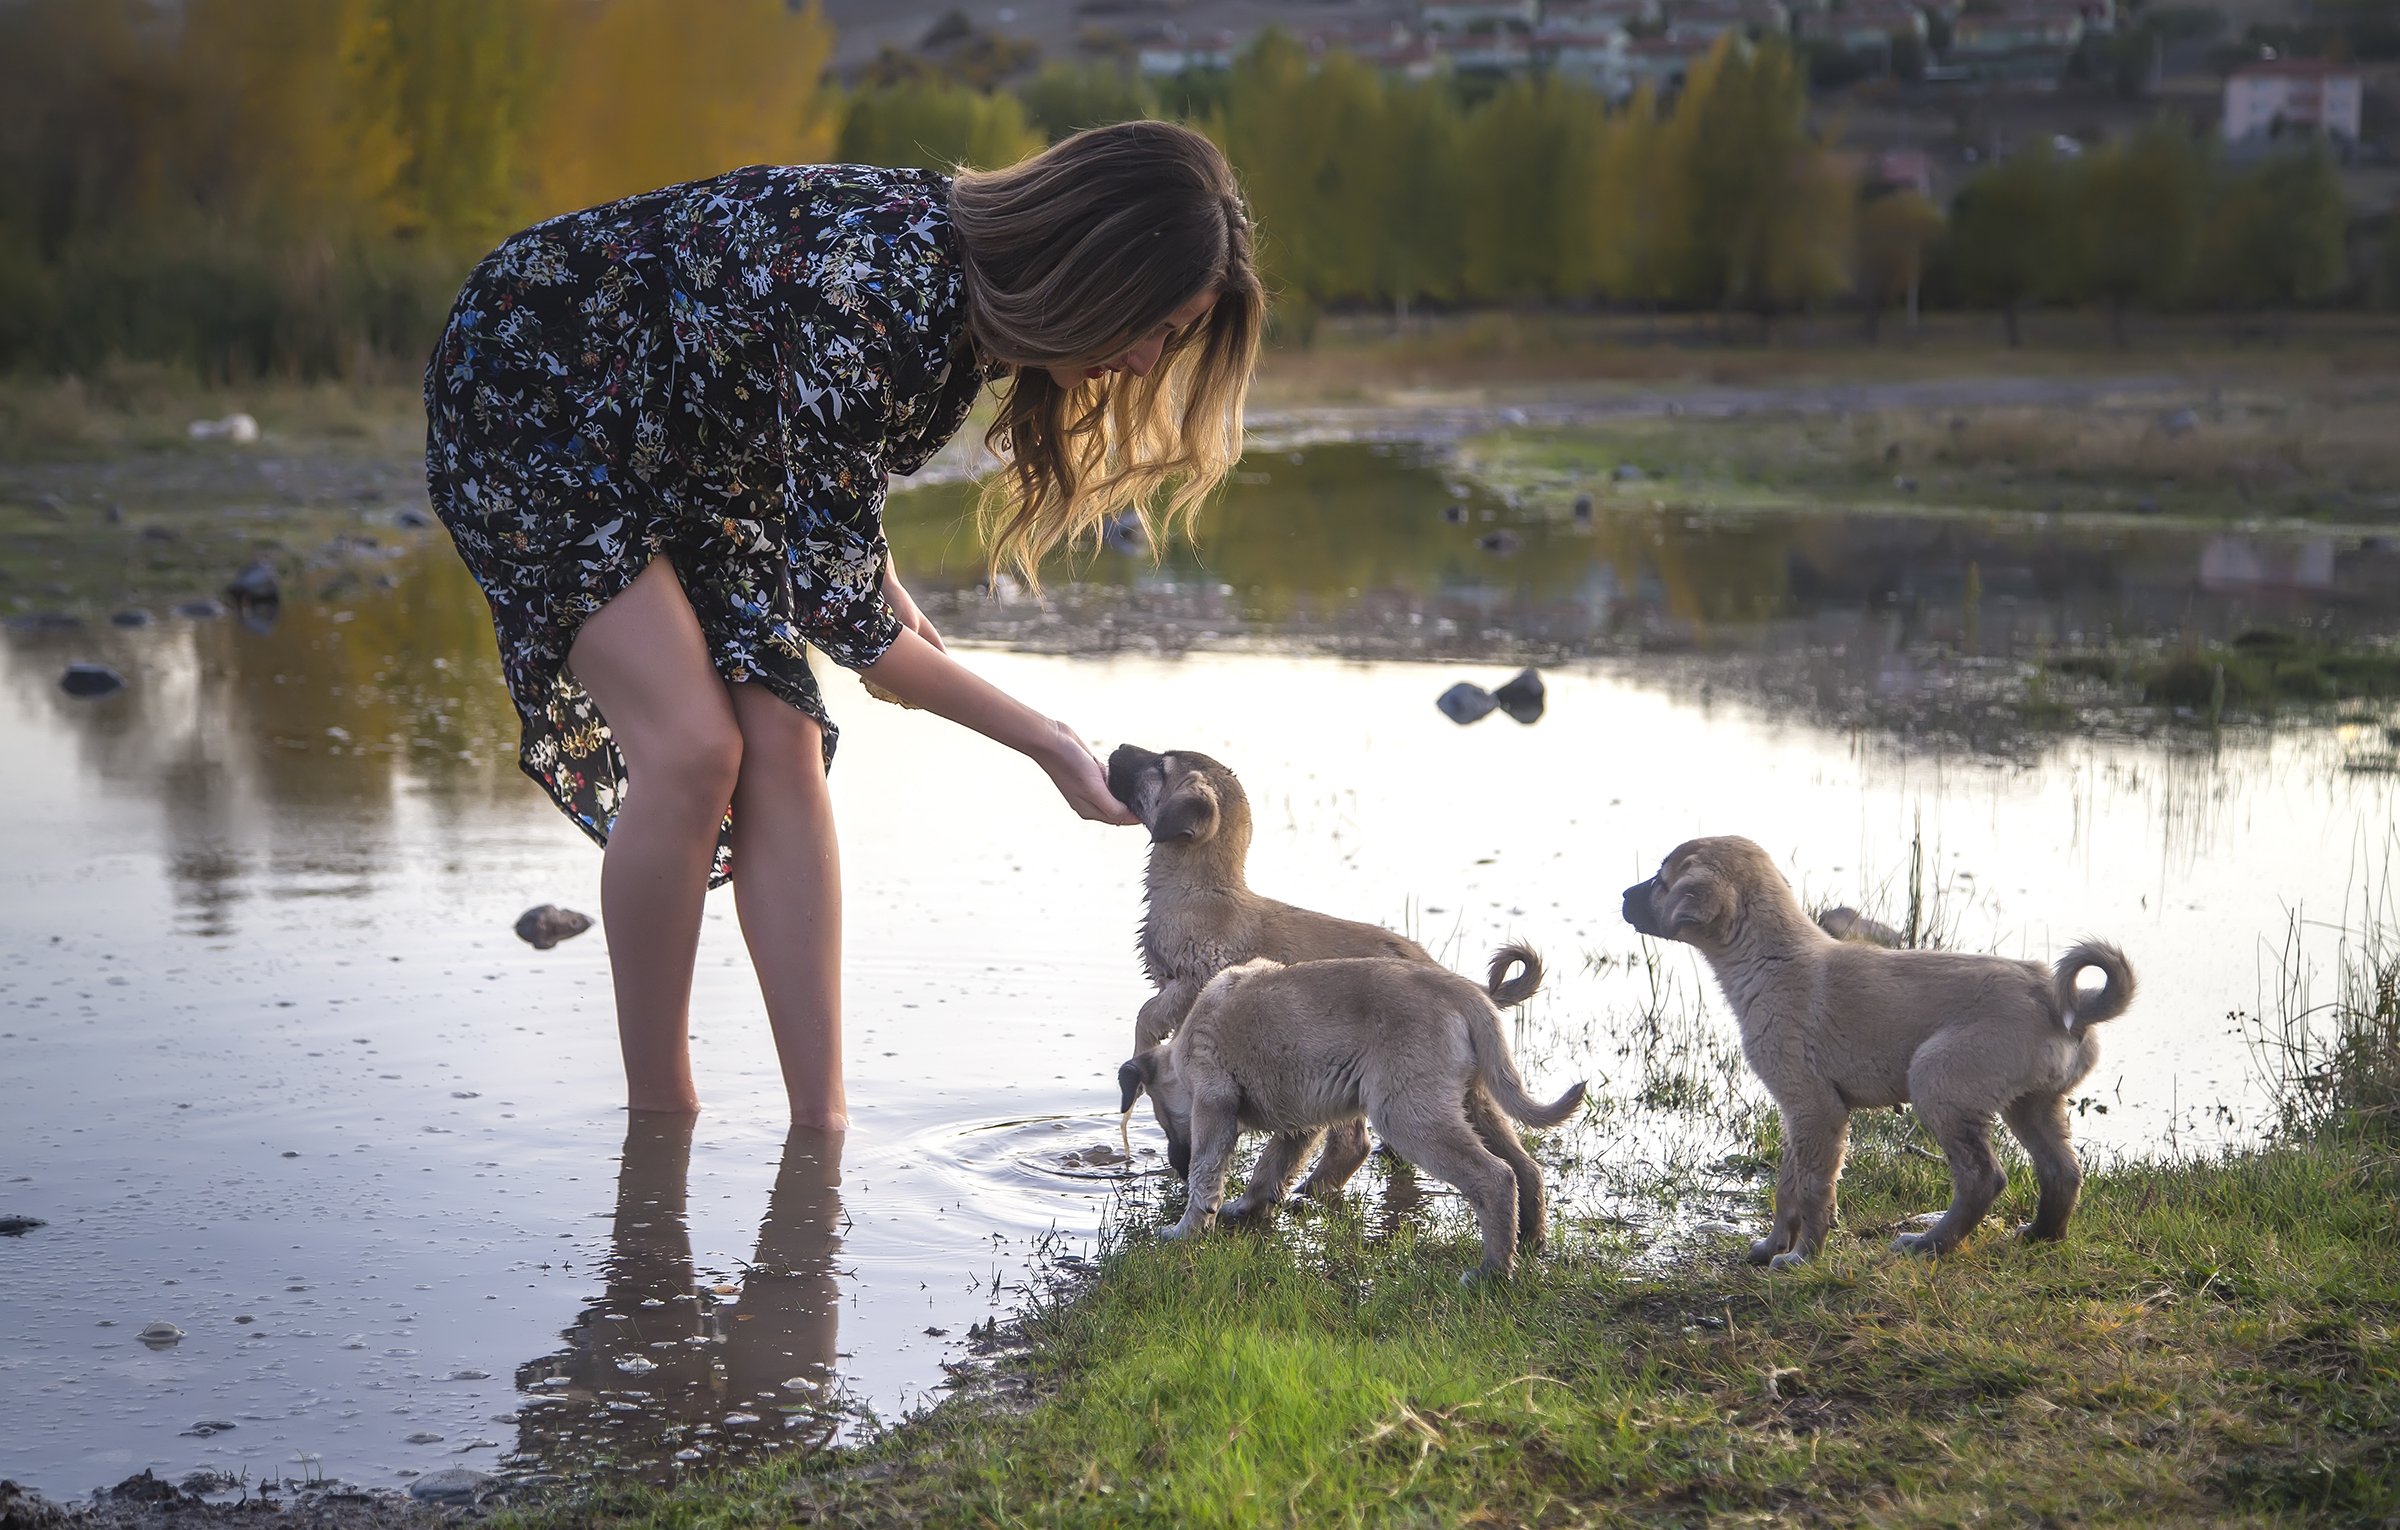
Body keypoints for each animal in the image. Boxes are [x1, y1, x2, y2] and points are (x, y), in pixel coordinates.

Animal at [1109, 744, 1518, 1201]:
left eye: (1160, 765)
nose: (1117, 749)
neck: (1202, 892)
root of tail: (1457, 984)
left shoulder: (1192, 982)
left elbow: (1148, 1013)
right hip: (1462, 1088)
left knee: (1354, 1141)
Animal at [1117, 946, 1586, 1277]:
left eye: (1161, 1116)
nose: (1175, 1168)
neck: (1187, 1044)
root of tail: (1468, 993)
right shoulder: (1300, 1119)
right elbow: (1270, 1168)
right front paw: (1247, 1207)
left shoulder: (1214, 1104)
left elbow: (1207, 1174)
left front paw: (1185, 1231)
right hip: (1476, 1104)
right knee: (1526, 1169)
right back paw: (1529, 1244)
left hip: (1409, 1115)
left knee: (1496, 1178)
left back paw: (1491, 1273)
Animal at [1621, 836, 2134, 1266]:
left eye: (1661, 882)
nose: (1623, 896)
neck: (1770, 959)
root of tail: (2064, 1002)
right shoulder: (1798, 1112)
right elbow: (1788, 1186)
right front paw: (1772, 1246)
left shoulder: (1816, 1107)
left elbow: (1813, 1190)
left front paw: (1802, 1257)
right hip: (2033, 1104)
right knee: (2062, 1172)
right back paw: (2038, 1236)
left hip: (1939, 1080)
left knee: (1983, 1178)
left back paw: (1928, 1245)